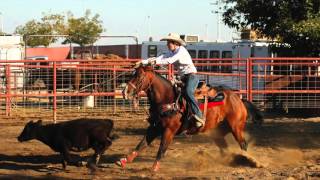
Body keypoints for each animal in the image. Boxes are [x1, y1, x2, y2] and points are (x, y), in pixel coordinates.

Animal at [117, 64, 262, 172]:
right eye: (133, 74)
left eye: (140, 76)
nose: (125, 92)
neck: (168, 99)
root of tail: (238, 99)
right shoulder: (155, 128)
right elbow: (142, 144)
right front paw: (124, 160)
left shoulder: (169, 131)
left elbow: (162, 148)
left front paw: (154, 168)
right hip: (219, 131)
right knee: (225, 147)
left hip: (236, 128)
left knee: (243, 144)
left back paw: (248, 160)